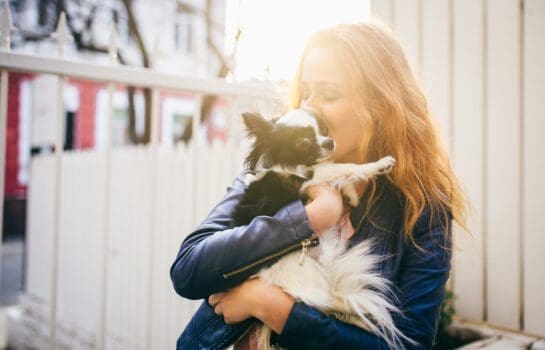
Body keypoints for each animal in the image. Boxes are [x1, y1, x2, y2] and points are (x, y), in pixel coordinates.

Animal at [233, 108, 408, 348]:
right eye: (303, 143)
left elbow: (340, 174)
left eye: (323, 129)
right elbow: (344, 168)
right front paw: (378, 164)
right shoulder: (309, 178)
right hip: (304, 269)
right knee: (333, 302)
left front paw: (350, 195)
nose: (329, 142)